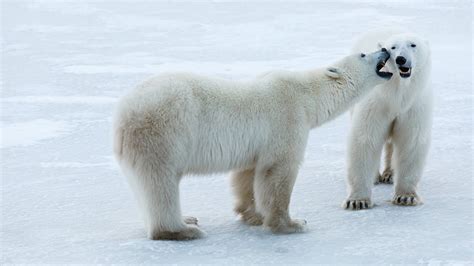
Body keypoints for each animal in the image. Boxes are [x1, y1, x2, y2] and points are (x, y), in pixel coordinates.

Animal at [115, 48, 392, 240]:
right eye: (364, 53)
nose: (386, 50)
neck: (307, 95)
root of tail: (123, 114)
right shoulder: (287, 118)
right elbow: (278, 171)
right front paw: (291, 224)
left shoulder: (256, 144)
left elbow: (248, 175)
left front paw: (253, 215)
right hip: (163, 132)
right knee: (161, 184)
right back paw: (183, 230)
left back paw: (189, 219)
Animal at [342, 30, 432, 210]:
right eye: (393, 47)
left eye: (413, 44)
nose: (401, 59)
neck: (397, 94)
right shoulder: (376, 103)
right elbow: (366, 139)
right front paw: (357, 200)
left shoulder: (413, 106)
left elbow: (411, 141)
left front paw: (406, 197)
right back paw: (376, 176)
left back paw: (390, 174)